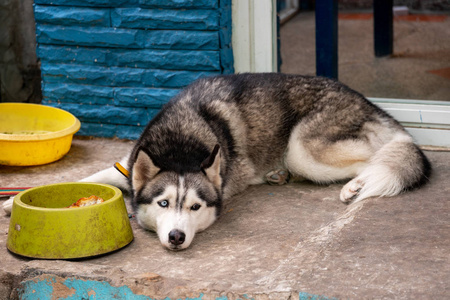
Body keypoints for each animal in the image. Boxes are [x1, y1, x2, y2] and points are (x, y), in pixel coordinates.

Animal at [81, 73, 428, 251]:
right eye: (163, 203)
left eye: (195, 207)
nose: (176, 237)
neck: (180, 145)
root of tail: (368, 102)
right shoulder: (126, 165)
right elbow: (91, 178)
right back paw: (279, 175)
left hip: (301, 149)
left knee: (378, 156)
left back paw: (355, 186)